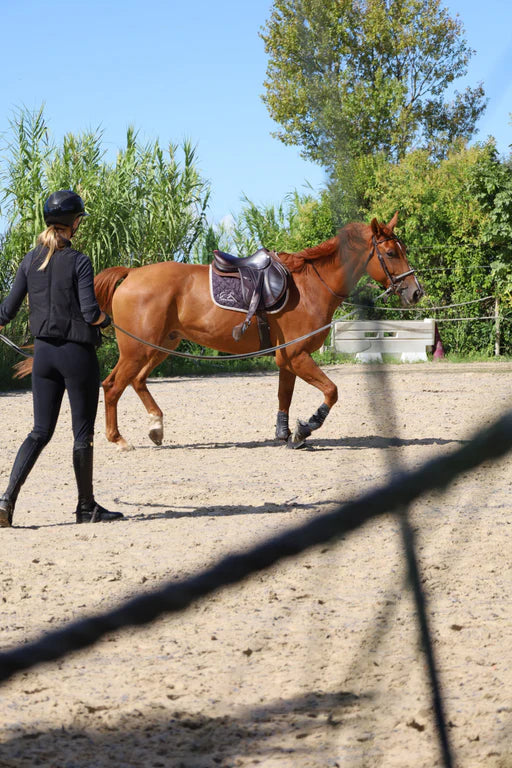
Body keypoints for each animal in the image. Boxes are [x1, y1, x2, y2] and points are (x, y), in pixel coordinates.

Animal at [84, 212, 421, 451]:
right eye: (391, 253)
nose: (416, 292)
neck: (311, 286)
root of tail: (131, 274)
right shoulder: (297, 356)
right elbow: (331, 391)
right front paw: (305, 428)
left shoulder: (287, 359)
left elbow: (284, 396)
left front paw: (285, 434)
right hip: (137, 350)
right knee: (112, 386)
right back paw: (118, 439)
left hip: (160, 346)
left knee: (137, 381)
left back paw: (156, 427)